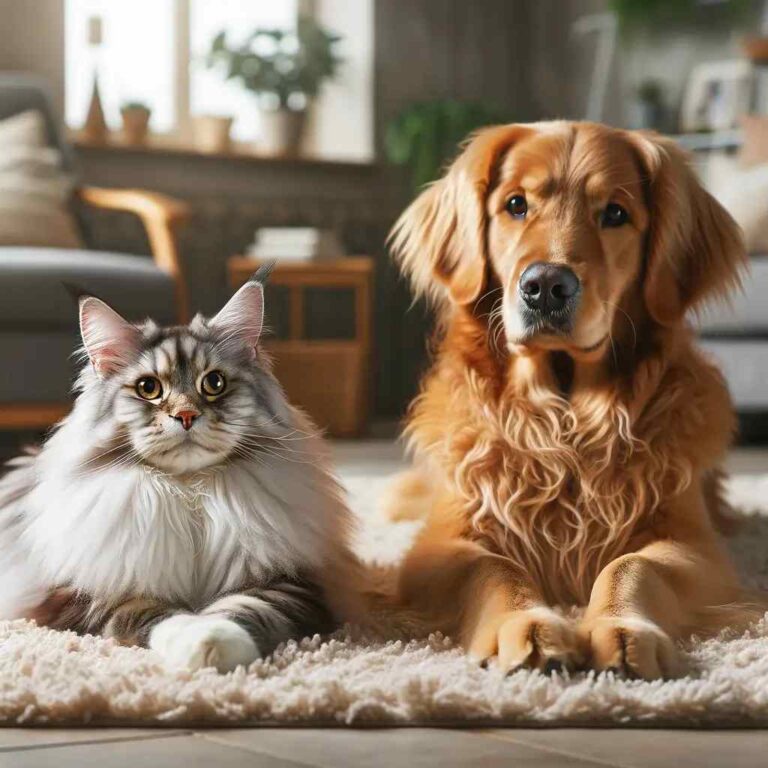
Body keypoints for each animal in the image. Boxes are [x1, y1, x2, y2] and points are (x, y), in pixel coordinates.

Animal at [0, 272, 360, 672]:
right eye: (149, 388)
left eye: (214, 383)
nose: (186, 415)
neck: (189, 492)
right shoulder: (93, 592)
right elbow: (155, 614)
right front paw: (195, 643)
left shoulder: (290, 583)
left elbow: (246, 608)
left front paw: (215, 644)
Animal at [388, 120, 760, 680]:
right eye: (516, 204)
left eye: (615, 213)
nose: (545, 285)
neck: (564, 421)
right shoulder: (443, 543)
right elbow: (495, 568)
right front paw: (525, 626)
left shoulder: (694, 545)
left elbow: (633, 564)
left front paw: (622, 628)